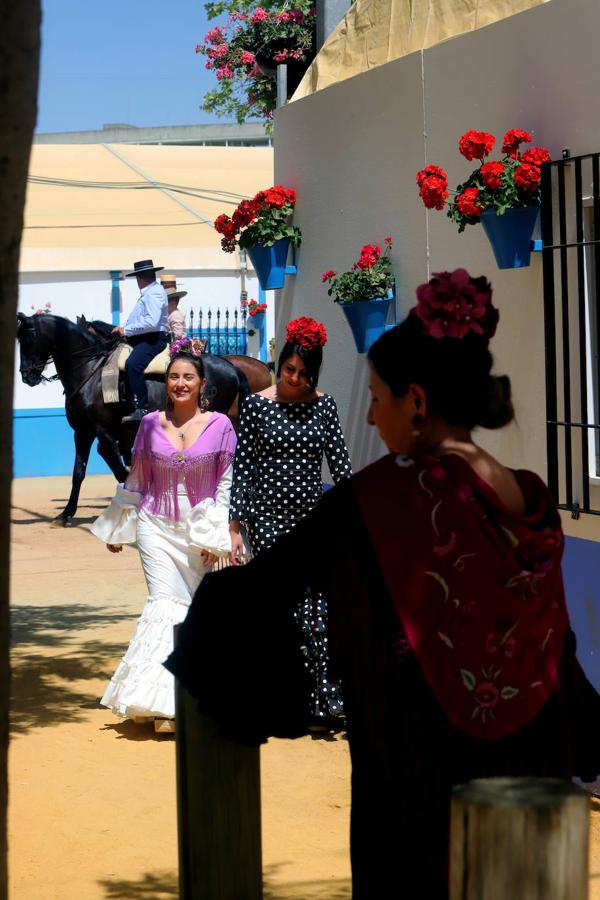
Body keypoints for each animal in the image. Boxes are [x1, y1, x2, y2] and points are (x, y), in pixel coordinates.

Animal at [15, 312, 248, 524]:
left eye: (28, 339)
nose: (27, 376)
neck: (90, 371)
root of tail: (232, 367)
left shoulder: (105, 431)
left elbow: (119, 468)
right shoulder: (83, 431)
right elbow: (79, 471)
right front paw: (65, 514)